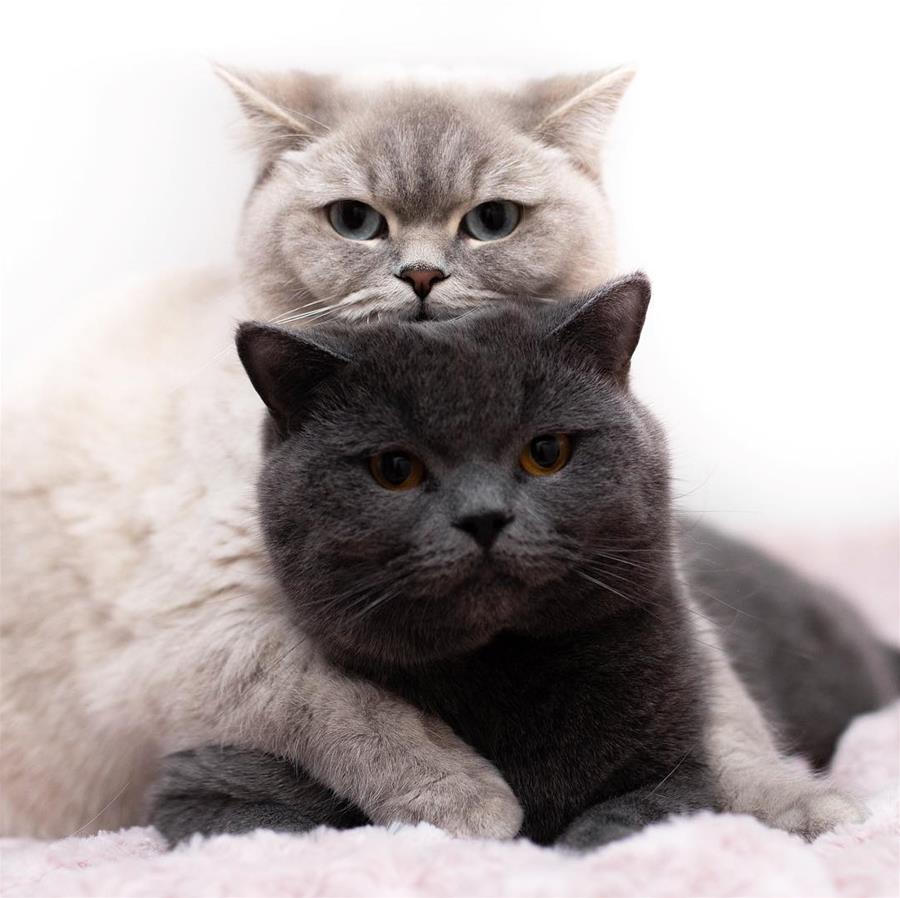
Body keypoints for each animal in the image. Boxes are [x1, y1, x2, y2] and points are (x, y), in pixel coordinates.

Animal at [149, 275, 900, 847]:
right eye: (393, 468)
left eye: (547, 452)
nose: (484, 516)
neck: (501, 669)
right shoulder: (200, 792)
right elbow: (312, 822)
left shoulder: (682, 764)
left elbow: (627, 816)